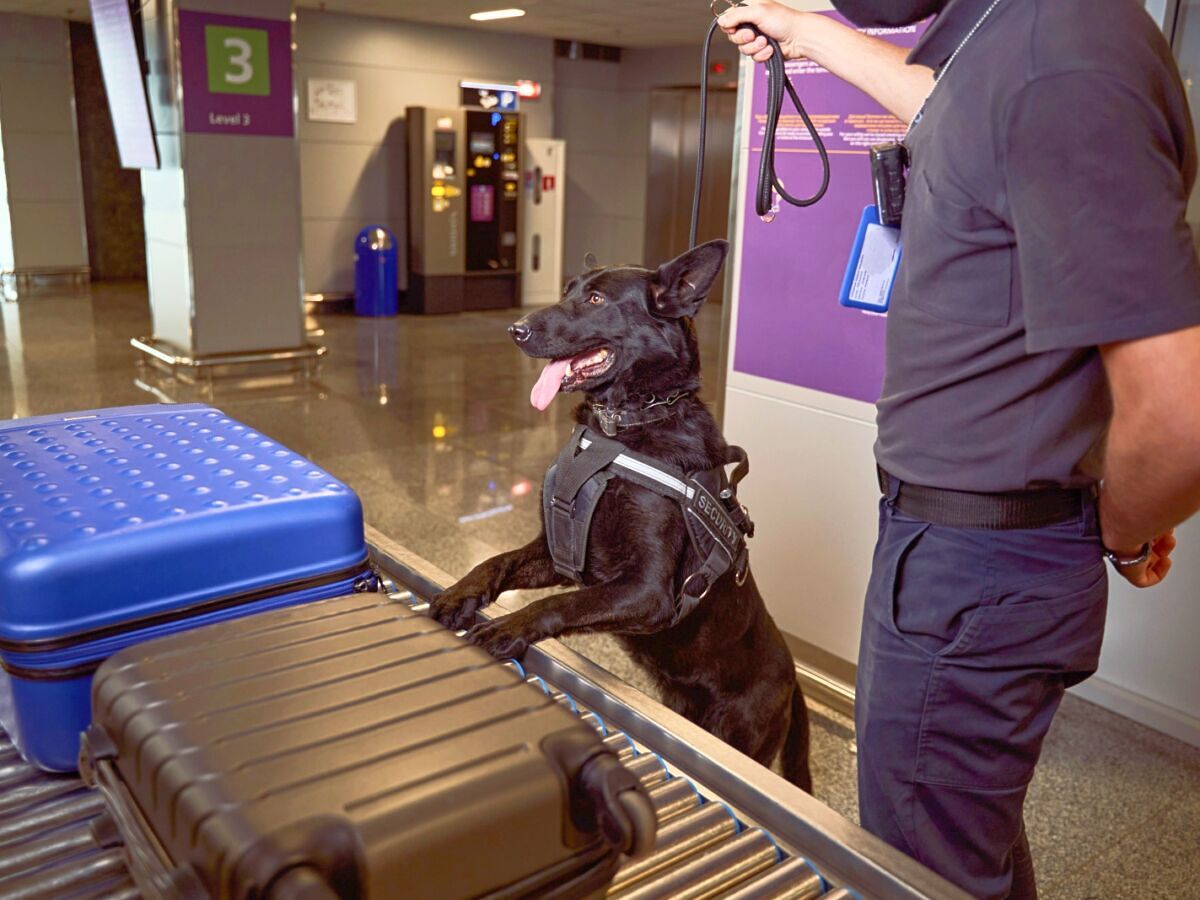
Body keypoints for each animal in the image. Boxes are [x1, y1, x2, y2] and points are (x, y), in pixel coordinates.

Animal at [427, 237, 811, 787]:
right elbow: (495, 561)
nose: (515, 329)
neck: (627, 427)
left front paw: (510, 626)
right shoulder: (561, 552)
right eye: (567, 290)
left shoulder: (648, 591)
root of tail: (793, 679)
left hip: (741, 736)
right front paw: (462, 593)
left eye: (595, 300)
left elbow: (560, 605)